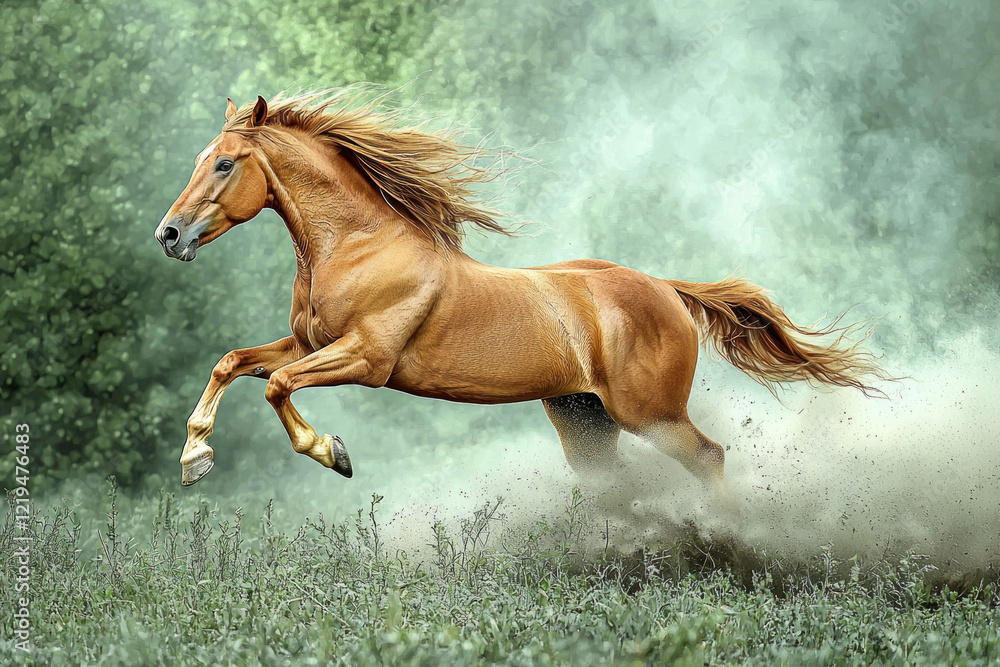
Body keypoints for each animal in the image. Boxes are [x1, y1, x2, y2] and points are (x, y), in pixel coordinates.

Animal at [154, 90, 887, 505]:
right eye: (196, 158)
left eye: (224, 163)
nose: (169, 234)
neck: (358, 245)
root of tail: (667, 291)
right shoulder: (308, 343)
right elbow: (232, 362)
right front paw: (194, 460)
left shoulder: (367, 358)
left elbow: (278, 385)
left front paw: (334, 453)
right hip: (584, 418)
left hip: (650, 413)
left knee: (709, 458)